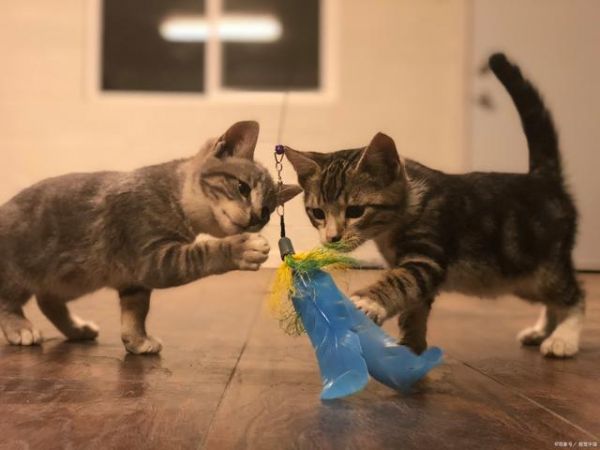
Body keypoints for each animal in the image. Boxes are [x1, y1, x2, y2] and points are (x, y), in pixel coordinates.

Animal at [0, 121, 301, 354]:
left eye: (266, 212)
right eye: (242, 187)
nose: (253, 220)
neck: (174, 195)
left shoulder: (134, 280)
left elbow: (136, 312)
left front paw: (136, 340)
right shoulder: (152, 259)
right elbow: (201, 253)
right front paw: (239, 249)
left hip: (71, 279)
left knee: (47, 300)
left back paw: (76, 328)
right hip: (23, 272)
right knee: (9, 300)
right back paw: (21, 328)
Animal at [284, 53, 583, 358]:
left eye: (355, 211)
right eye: (317, 213)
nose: (332, 237)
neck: (399, 218)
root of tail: (542, 177)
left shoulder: (427, 255)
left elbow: (401, 280)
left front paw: (365, 303)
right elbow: (414, 306)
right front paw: (411, 345)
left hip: (541, 265)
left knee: (574, 295)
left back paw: (563, 338)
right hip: (519, 276)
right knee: (552, 301)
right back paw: (542, 330)